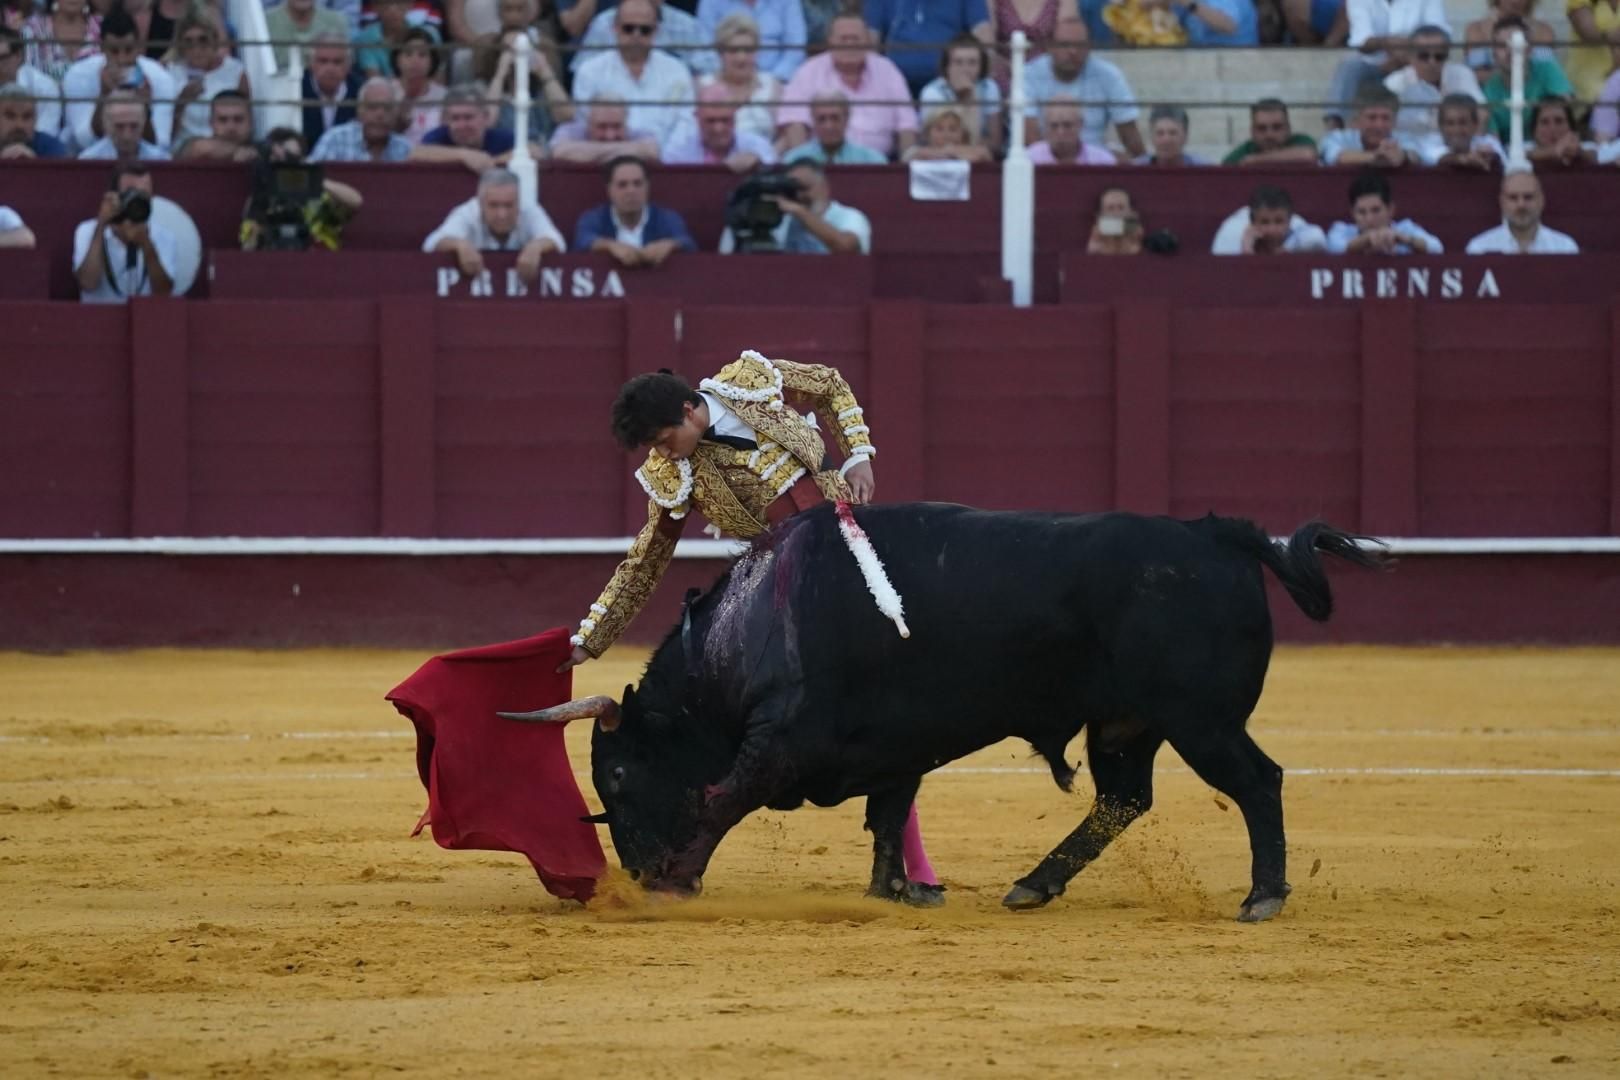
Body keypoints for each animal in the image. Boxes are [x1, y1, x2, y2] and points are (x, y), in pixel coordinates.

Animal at [498, 505, 1386, 919]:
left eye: (617, 772)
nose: (637, 872)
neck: (749, 632)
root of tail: (1221, 538)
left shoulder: (782, 743)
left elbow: (723, 800)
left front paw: (681, 882)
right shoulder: (897, 745)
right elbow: (889, 813)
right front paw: (897, 889)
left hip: (1203, 721)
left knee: (1258, 783)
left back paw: (1262, 897)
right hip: (1125, 724)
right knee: (1123, 799)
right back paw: (1032, 885)